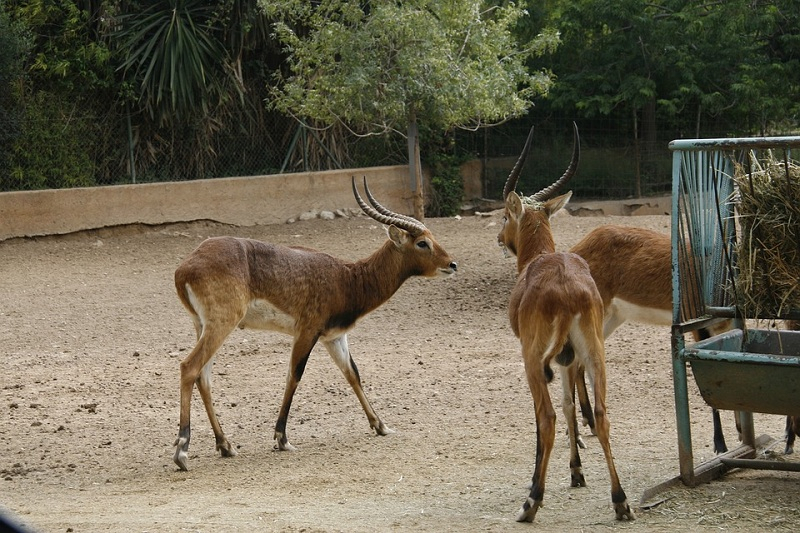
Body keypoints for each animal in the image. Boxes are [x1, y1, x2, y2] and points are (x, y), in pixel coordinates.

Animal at [170, 178, 456, 470]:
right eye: (422, 243)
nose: (452, 264)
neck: (348, 279)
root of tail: (184, 269)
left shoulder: (334, 337)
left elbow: (352, 373)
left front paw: (381, 425)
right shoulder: (307, 332)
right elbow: (294, 375)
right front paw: (282, 438)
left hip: (203, 326)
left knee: (203, 377)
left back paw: (225, 446)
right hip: (221, 325)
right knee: (189, 367)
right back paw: (182, 452)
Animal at [500, 125, 636, 524]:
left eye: (505, 216)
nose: (500, 238)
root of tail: (566, 289)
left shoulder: (537, 359)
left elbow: (547, 415)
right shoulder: (568, 360)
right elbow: (570, 405)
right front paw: (577, 472)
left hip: (534, 360)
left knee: (545, 418)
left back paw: (530, 503)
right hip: (594, 355)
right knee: (602, 416)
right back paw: (621, 501)